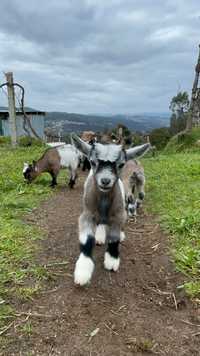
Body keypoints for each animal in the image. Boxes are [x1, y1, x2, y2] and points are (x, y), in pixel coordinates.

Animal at [72, 134, 150, 286]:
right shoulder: (87, 215)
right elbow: (86, 240)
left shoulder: (118, 215)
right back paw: (100, 236)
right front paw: (82, 273)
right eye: (92, 162)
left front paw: (112, 260)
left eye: (121, 164)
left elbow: (114, 238)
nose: (105, 180)